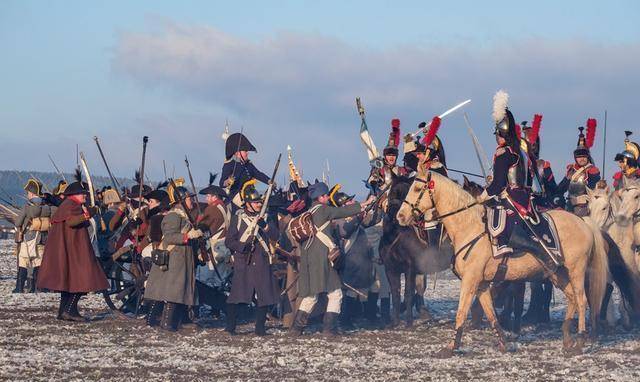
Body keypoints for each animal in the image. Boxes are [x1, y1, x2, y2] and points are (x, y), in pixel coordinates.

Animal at [398, 166, 608, 356]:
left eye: (417, 189)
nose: (400, 216)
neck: (469, 225)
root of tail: (583, 222)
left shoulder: (470, 281)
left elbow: (461, 312)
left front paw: (451, 347)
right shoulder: (482, 284)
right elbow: (490, 314)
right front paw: (503, 343)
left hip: (576, 271)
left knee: (581, 300)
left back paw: (579, 341)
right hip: (558, 274)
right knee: (572, 298)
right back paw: (566, 338)